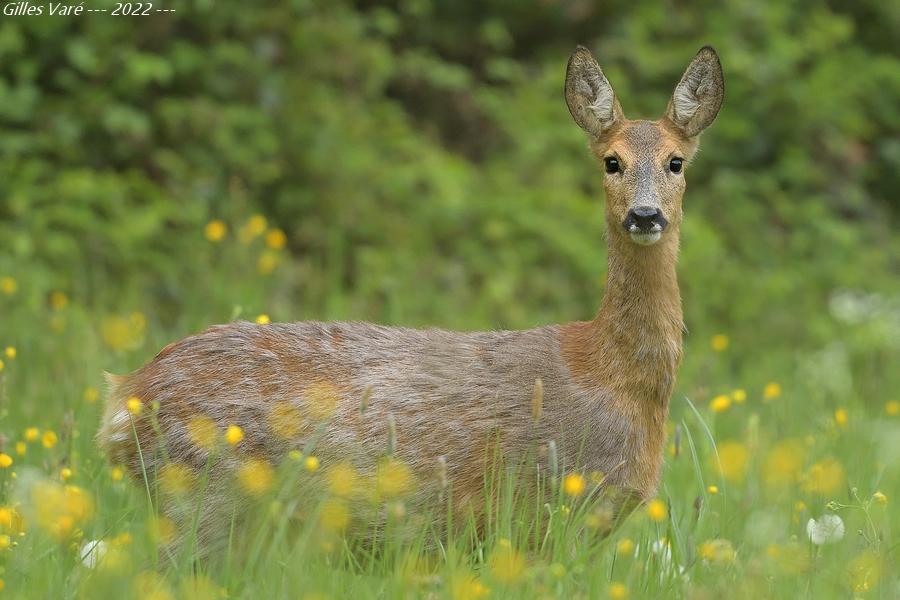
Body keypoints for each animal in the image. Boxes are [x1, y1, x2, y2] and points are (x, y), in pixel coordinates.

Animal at [98, 45, 724, 552]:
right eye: (611, 161)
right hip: (202, 497)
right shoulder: (548, 509)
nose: (645, 215)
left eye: (676, 162)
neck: (611, 375)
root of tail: (122, 399)